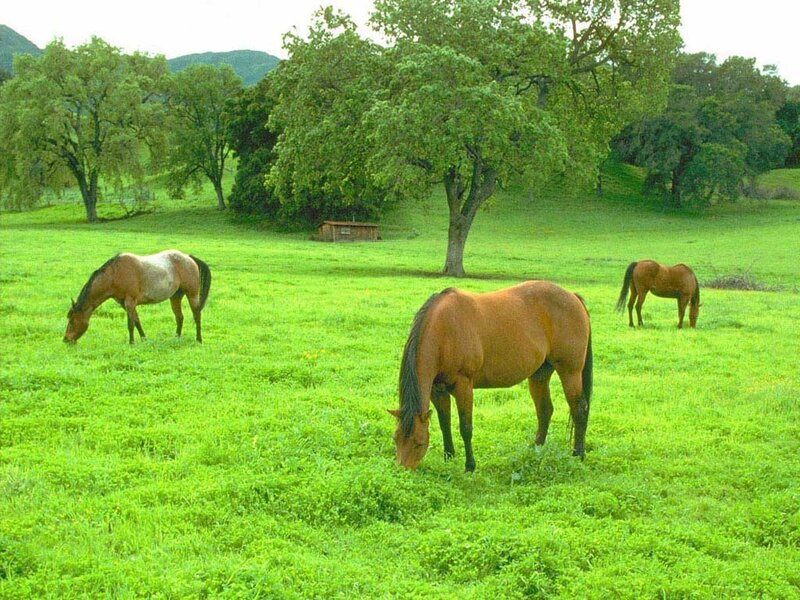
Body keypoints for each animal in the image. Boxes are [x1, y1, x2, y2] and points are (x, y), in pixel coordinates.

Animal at [64, 250, 211, 344]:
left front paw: (131, 342)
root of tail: (189, 257)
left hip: (192, 294)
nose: (65, 339)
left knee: (197, 315)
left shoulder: (130, 301)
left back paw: (199, 339)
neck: (115, 274)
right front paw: (144, 339)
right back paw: (177, 337)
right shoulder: (125, 303)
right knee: (179, 317)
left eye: (72, 321)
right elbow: (136, 321)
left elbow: (130, 324)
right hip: (176, 296)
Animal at [390, 281, 593, 472]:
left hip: (570, 372)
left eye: (418, 443)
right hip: (540, 375)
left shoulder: (463, 386)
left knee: (579, 409)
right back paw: (536, 450)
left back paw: (578, 455)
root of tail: (573, 297)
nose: (403, 470)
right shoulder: (437, 389)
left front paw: (470, 466)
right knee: (545, 410)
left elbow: (466, 427)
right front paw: (449, 457)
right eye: (396, 439)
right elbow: (444, 422)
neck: (445, 330)